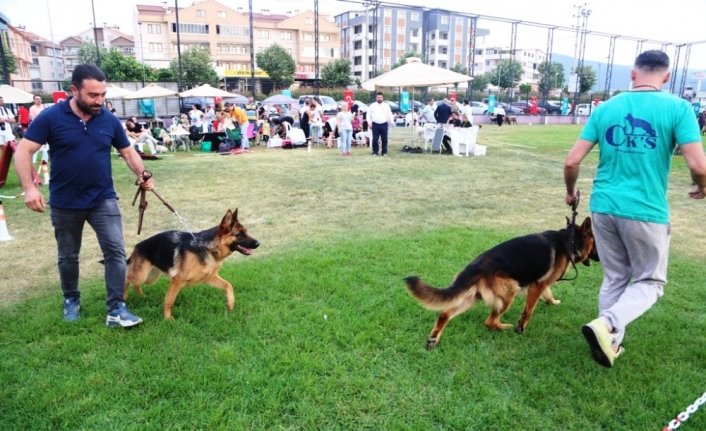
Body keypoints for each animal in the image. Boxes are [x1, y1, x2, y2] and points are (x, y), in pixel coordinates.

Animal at [124, 209, 258, 320]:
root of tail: (137, 247)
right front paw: (168, 319)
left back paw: (141, 296)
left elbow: (228, 285)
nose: (258, 243)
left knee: (135, 284)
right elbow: (169, 301)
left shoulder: (209, 278)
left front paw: (230, 303)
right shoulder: (177, 281)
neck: (206, 248)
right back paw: (123, 298)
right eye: (240, 235)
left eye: (246, 232)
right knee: (126, 279)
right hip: (141, 275)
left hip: (150, 278)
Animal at [404, 219, 596, 352]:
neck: (570, 240)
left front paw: (553, 302)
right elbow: (528, 310)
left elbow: (547, 294)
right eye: (595, 243)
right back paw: (505, 327)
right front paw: (521, 328)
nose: (599, 257)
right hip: (509, 292)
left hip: (471, 298)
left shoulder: (541, 284)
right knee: (489, 321)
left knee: (445, 314)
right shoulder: (537, 285)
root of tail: (474, 267)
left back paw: (433, 340)